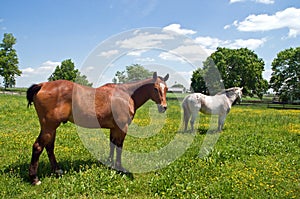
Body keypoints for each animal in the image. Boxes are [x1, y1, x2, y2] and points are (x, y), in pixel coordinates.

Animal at [26, 71, 169, 185]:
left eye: (166, 88)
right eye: (155, 88)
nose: (164, 107)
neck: (126, 94)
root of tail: (42, 85)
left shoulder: (114, 128)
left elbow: (112, 144)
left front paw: (110, 163)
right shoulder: (122, 127)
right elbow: (119, 147)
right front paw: (120, 167)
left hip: (51, 128)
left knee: (49, 147)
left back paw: (57, 170)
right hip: (49, 127)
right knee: (38, 147)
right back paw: (34, 178)